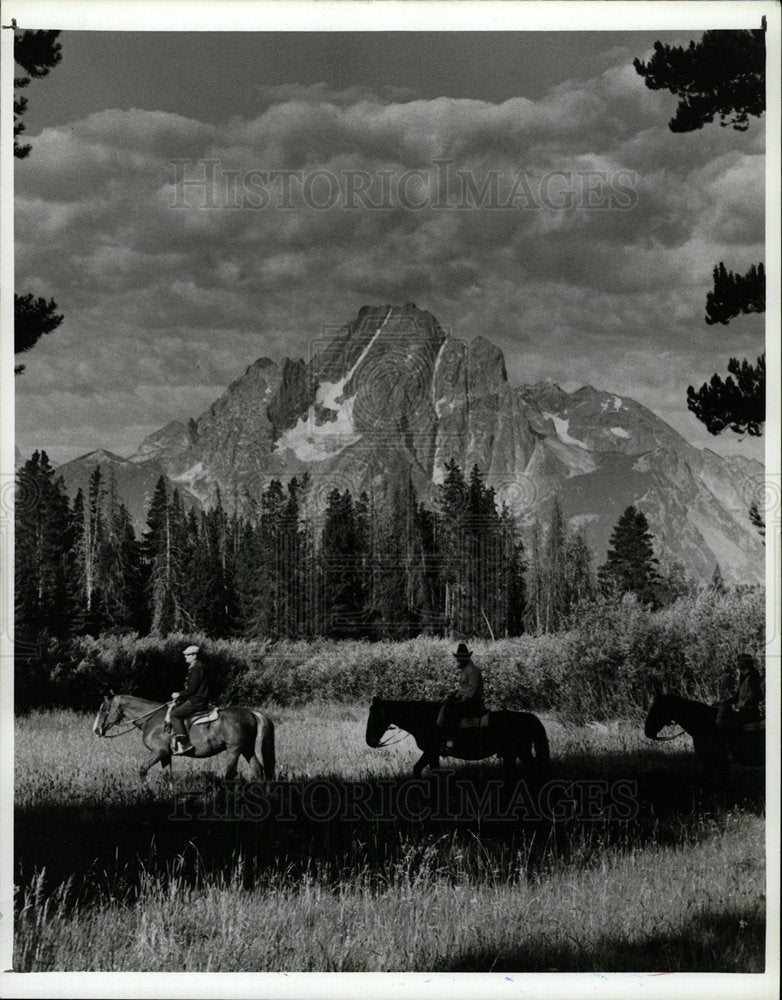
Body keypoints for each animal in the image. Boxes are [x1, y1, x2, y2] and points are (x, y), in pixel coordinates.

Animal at [94, 696, 278, 780]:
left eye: (103, 708)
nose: (96, 730)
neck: (151, 718)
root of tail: (250, 712)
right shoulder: (165, 755)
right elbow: (167, 775)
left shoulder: (158, 752)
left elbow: (142, 769)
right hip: (247, 749)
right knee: (258, 769)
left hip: (234, 750)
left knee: (230, 774)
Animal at [368, 700, 552, 776]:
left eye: (375, 716)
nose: (369, 741)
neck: (425, 718)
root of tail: (528, 717)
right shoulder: (432, 755)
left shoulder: (430, 752)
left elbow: (420, 769)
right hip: (511, 754)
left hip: (521, 751)